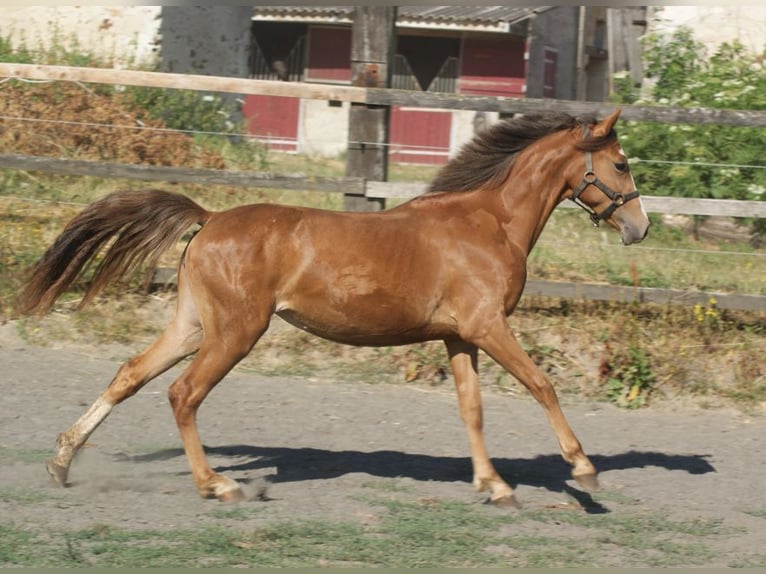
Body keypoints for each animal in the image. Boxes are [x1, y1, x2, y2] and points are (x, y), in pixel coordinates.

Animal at [17, 109, 649, 507]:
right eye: (620, 164)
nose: (639, 228)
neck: (487, 224)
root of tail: (209, 219)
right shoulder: (488, 326)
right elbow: (543, 385)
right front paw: (584, 470)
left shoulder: (459, 336)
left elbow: (472, 410)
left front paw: (494, 487)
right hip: (235, 333)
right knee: (183, 394)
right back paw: (219, 485)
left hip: (194, 326)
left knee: (130, 375)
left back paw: (61, 462)